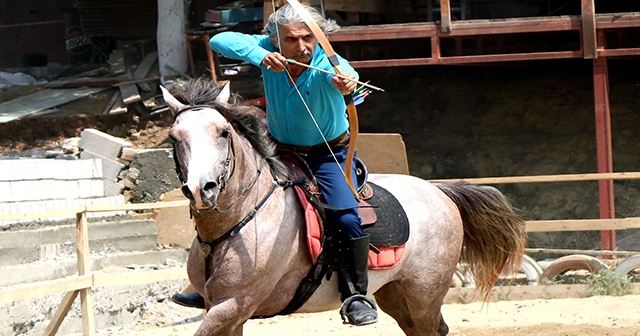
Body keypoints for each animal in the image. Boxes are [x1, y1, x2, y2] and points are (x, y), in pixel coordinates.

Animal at [160, 79, 524, 336]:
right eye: (174, 138)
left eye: (223, 132)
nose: (201, 189)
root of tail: (438, 190)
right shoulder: (223, 311)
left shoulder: (234, 304)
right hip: (395, 293)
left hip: (425, 294)